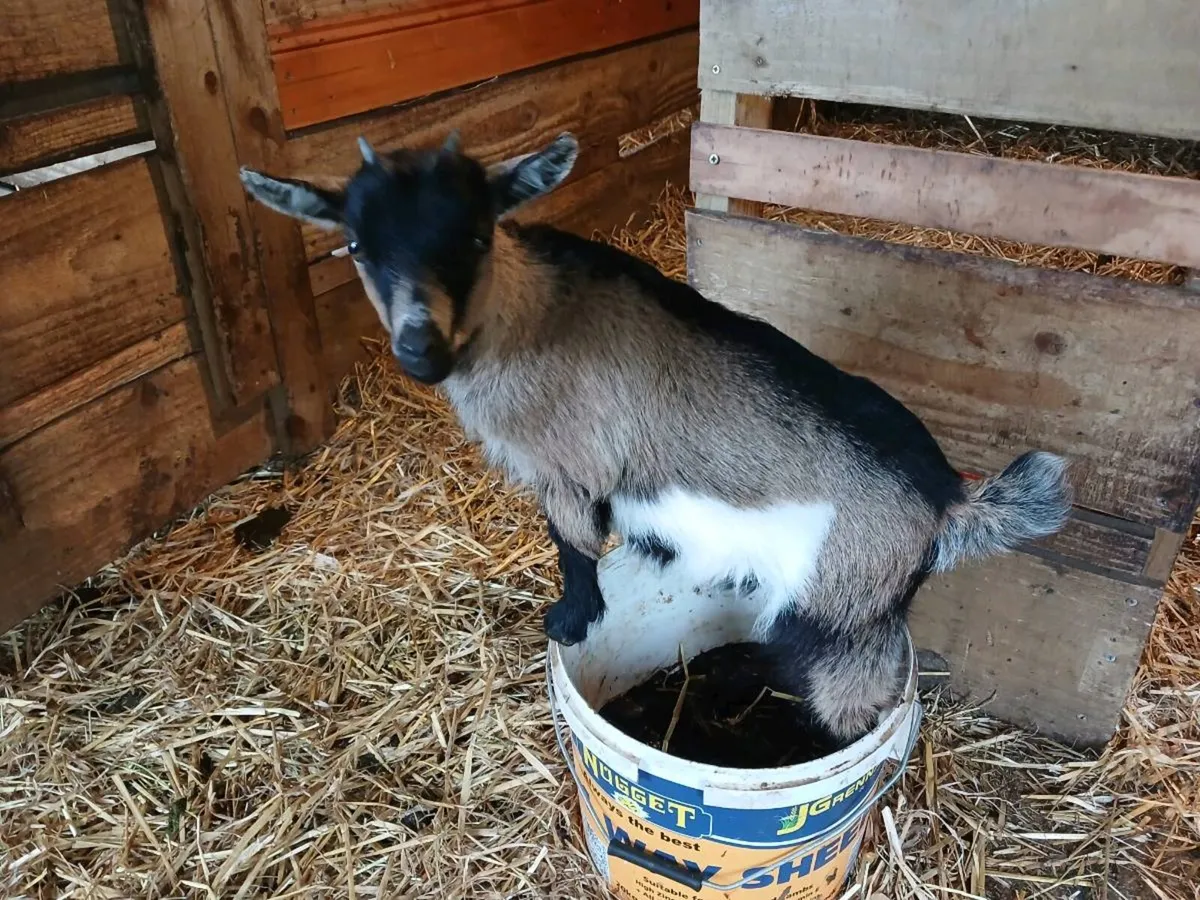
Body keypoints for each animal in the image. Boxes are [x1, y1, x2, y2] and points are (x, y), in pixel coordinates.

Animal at [240, 132, 1072, 745]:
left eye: (475, 235)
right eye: (355, 246)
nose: (420, 350)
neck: (529, 315)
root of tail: (949, 503)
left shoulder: (570, 465)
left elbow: (574, 546)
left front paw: (569, 621)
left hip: (836, 598)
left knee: (846, 693)